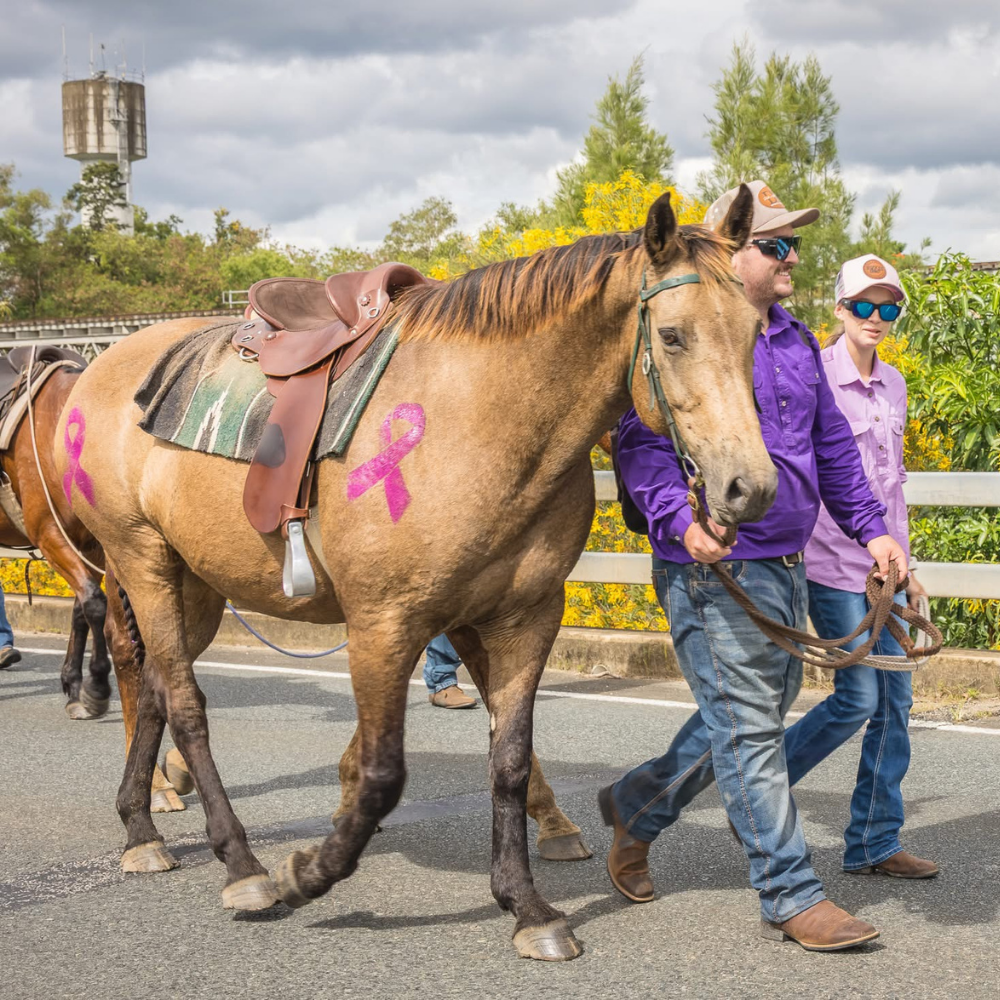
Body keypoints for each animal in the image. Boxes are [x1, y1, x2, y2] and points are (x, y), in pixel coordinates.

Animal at [57, 188, 776, 961]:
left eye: (754, 330)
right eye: (672, 336)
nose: (750, 488)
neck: (482, 421)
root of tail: (104, 363)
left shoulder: (525, 617)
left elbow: (508, 759)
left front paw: (526, 905)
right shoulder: (384, 624)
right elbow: (380, 773)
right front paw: (310, 872)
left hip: (196, 584)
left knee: (157, 685)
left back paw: (140, 823)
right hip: (144, 560)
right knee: (184, 702)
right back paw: (243, 866)